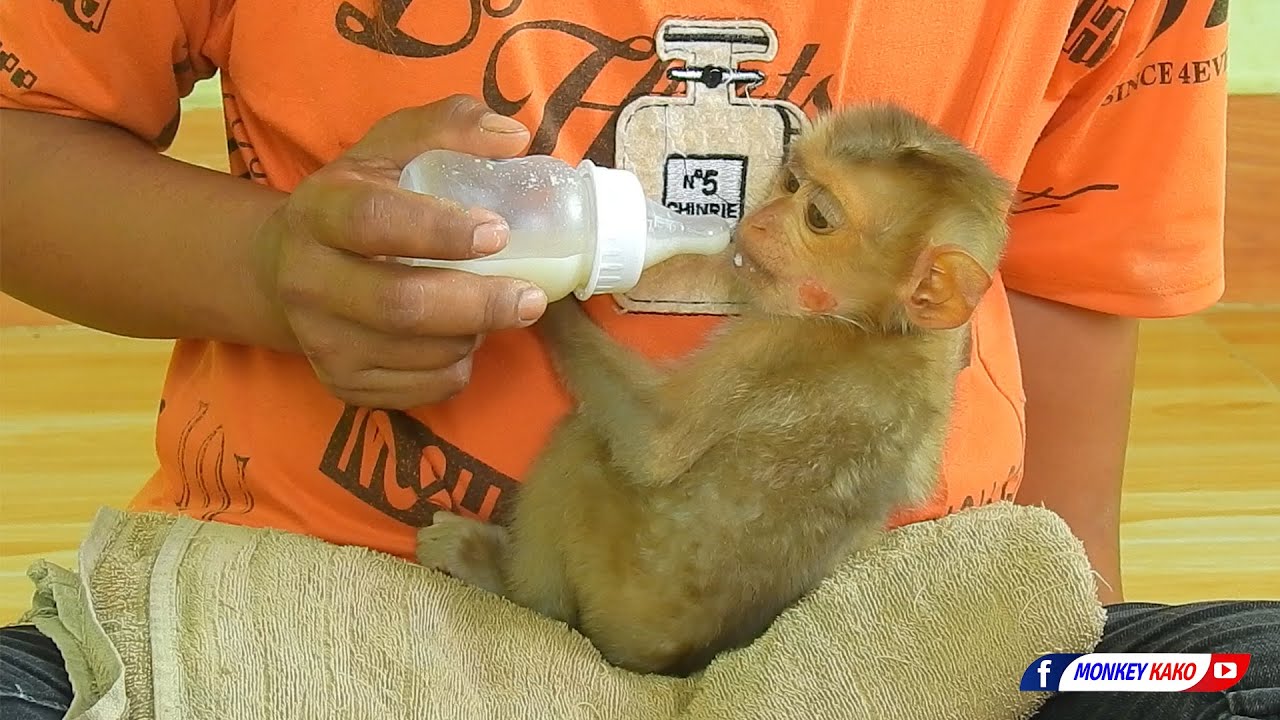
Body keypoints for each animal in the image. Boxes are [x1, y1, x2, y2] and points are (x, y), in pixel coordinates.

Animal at [416, 102, 1014, 677]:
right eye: (792, 183)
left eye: (817, 218)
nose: (758, 219)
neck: (883, 328)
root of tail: (658, 662)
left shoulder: (781, 338)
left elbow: (657, 444)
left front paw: (553, 293)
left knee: (582, 449)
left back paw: (500, 577)